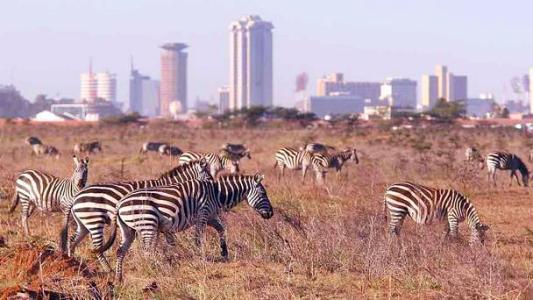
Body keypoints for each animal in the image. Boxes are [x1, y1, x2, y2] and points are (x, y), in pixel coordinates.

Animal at [68, 159, 212, 272]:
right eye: (209, 178)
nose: (212, 185)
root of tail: (76, 198)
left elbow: (157, 243)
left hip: (84, 224)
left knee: (72, 240)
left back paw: (72, 262)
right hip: (94, 220)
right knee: (97, 248)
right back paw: (108, 270)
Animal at [115, 175, 274, 282]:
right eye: (263, 194)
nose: (271, 214)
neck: (217, 194)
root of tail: (120, 203)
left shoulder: (210, 216)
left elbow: (221, 229)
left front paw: (224, 252)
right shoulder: (202, 215)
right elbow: (198, 239)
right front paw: (199, 258)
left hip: (128, 229)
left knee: (120, 251)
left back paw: (119, 277)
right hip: (147, 223)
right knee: (147, 251)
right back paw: (154, 268)